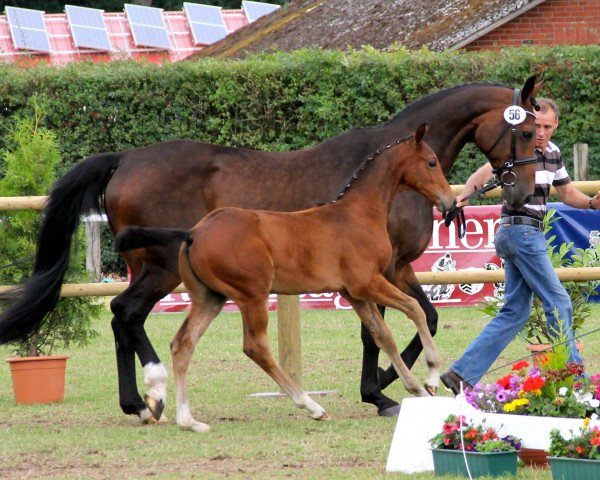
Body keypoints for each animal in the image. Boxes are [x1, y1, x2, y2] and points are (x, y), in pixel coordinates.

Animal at [113, 124, 454, 432]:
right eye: (431, 162)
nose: (449, 203)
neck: (358, 213)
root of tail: (194, 232)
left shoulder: (354, 293)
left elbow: (383, 335)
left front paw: (414, 388)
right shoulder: (368, 282)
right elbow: (415, 309)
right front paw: (431, 379)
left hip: (210, 297)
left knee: (183, 343)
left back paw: (187, 420)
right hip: (252, 295)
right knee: (255, 347)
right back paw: (311, 406)